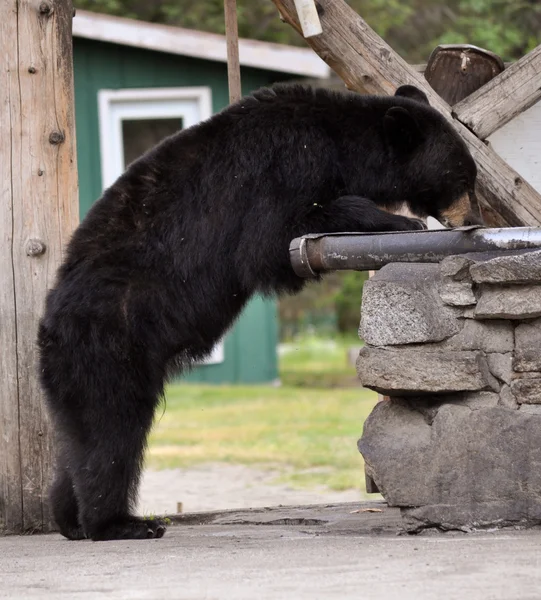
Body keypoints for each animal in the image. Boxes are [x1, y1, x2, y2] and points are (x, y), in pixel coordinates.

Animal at [38, 83, 476, 540]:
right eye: (462, 178)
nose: (472, 217)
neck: (338, 142)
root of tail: (49, 325)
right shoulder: (282, 168)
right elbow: (271, 238)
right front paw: (394, 221)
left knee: (81, 437)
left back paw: (69, 518)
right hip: (113, 340)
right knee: (113, 427)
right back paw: (121, 523)